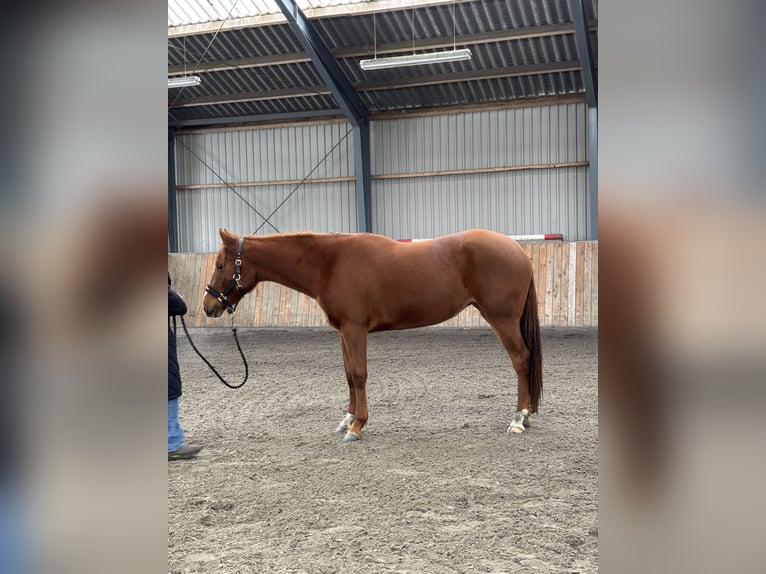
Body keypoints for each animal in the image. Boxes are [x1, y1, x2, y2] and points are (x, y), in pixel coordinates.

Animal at [203, 228, 542, 441]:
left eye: (219, 265)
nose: (208, 306)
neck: (332, 263)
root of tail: (517, 250)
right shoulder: (343, 331)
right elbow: (349, 376)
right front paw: (348, 419)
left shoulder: (355, 329)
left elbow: (359, 374)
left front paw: (358, 427)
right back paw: (526, 416)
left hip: (502, 320)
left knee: (521, 359)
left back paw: (518, 419)